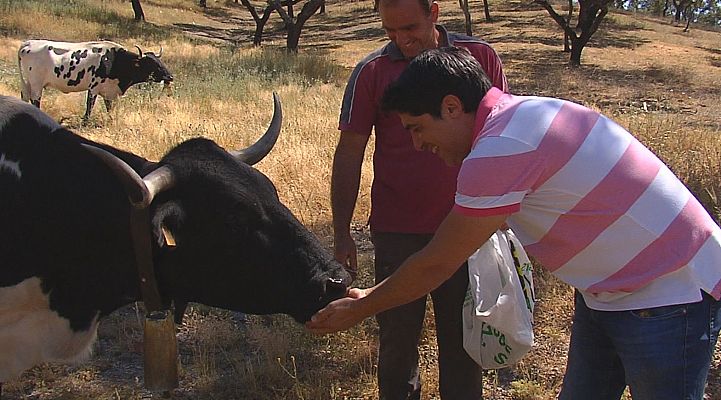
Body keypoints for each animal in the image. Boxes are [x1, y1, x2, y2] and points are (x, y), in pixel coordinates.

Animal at [17, 40, 173, 122]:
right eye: (151, 64)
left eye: (159, 61)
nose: (170, 76)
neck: (114, 60)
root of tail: (28, 43)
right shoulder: (94, 87)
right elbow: (89, 105)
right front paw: (85, 121)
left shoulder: (108, 90)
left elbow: (109, 107)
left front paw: (111, 119)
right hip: (36, 84)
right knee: (35, 100)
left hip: (28, 83)